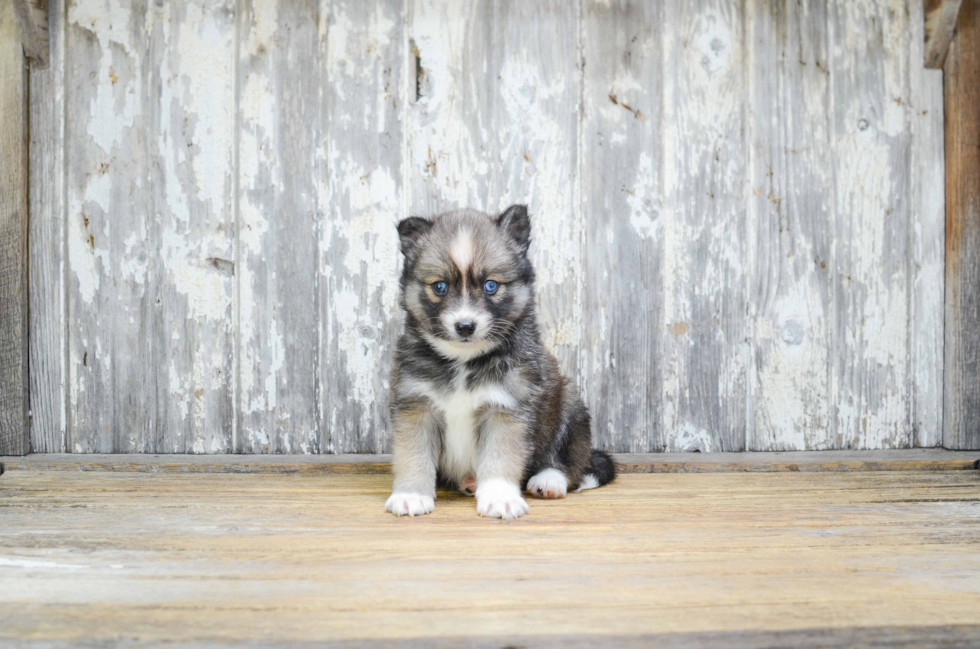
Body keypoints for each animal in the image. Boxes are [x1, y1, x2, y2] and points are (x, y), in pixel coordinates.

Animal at [382, 205, 612, 520]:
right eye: (439, 286)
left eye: (490, 285)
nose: (465, 326)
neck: (463, 361)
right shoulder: (416, 406)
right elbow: (413, 455)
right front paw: (411, 495)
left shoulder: (505, 409)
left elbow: (501, 456)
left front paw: (500, 497)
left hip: (570, 405)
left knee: (570, 461)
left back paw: (549, 480)